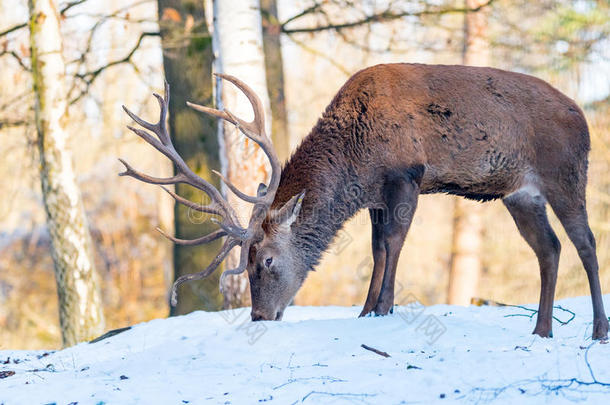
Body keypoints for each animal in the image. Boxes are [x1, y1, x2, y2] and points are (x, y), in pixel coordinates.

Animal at [120, 64, 608, 340]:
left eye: (268, 261)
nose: (259, 316)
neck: (358, 157)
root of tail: (582, 116)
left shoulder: (406, 173)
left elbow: (393, 242)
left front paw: (384, 308)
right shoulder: (374, 195)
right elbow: (376, 248)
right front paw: (366, 309)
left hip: (566, 173)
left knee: (585, 242)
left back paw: (598, 330)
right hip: (519, 194)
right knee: (550, 248)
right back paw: (541, 329)